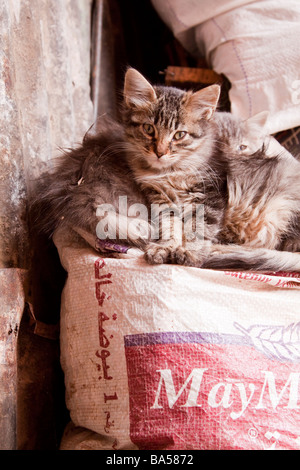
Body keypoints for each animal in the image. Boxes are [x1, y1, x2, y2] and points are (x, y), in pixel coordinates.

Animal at [122, 67, 300, 270]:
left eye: (179, 135)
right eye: (149, 129)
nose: (160, 152)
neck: (170, 172)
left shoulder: (209, 194)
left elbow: (198, 228)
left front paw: (189, 252)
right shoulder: (161, 199)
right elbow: (169, 227)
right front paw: (165, 248)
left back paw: (218, 250)